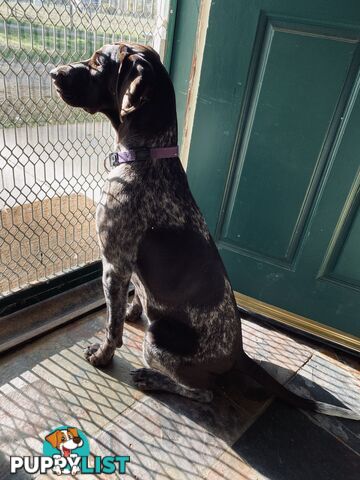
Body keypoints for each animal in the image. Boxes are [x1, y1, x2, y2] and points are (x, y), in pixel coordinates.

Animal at [51, 44, 360, 420]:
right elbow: (134, 298)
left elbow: (112, 328)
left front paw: (102, 356)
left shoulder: (114, 265)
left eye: (98, 62)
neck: (148, 155)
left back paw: (152, 378)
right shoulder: (127, 270)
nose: (53, 73)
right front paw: (133, 311)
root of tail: (239, 354)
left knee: (204, 394)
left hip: (159, 341)